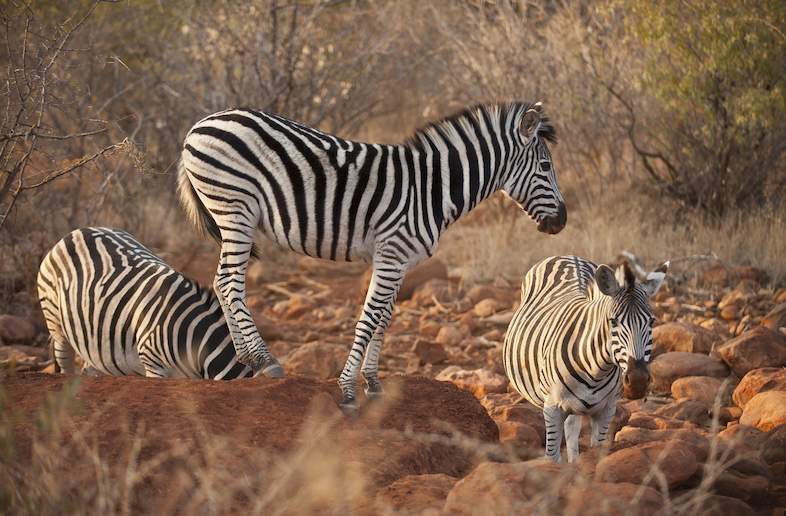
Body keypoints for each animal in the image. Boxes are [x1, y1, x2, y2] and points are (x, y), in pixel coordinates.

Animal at [180, 101, 568, 410]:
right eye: (546, 167)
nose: (562, 222)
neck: (432, 189)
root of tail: (200, 125)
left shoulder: (398, 260)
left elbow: (384, 319)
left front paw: (374, 383)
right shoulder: (392, 253)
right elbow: (368, 320)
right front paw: (348, 390)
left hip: (231, 214)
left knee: (222, 280)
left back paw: (248, 358)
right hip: (236, 208)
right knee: (229, 283)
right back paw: (265, 359)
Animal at [502, 256, 668, 462]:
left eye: (652, 321)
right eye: (613, 321)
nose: (638, 381)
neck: (596, 372)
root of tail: (568, 257)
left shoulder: (606, 410)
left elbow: (596, 452)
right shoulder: (552, 408)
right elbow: (552, 457)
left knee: (572, 430)